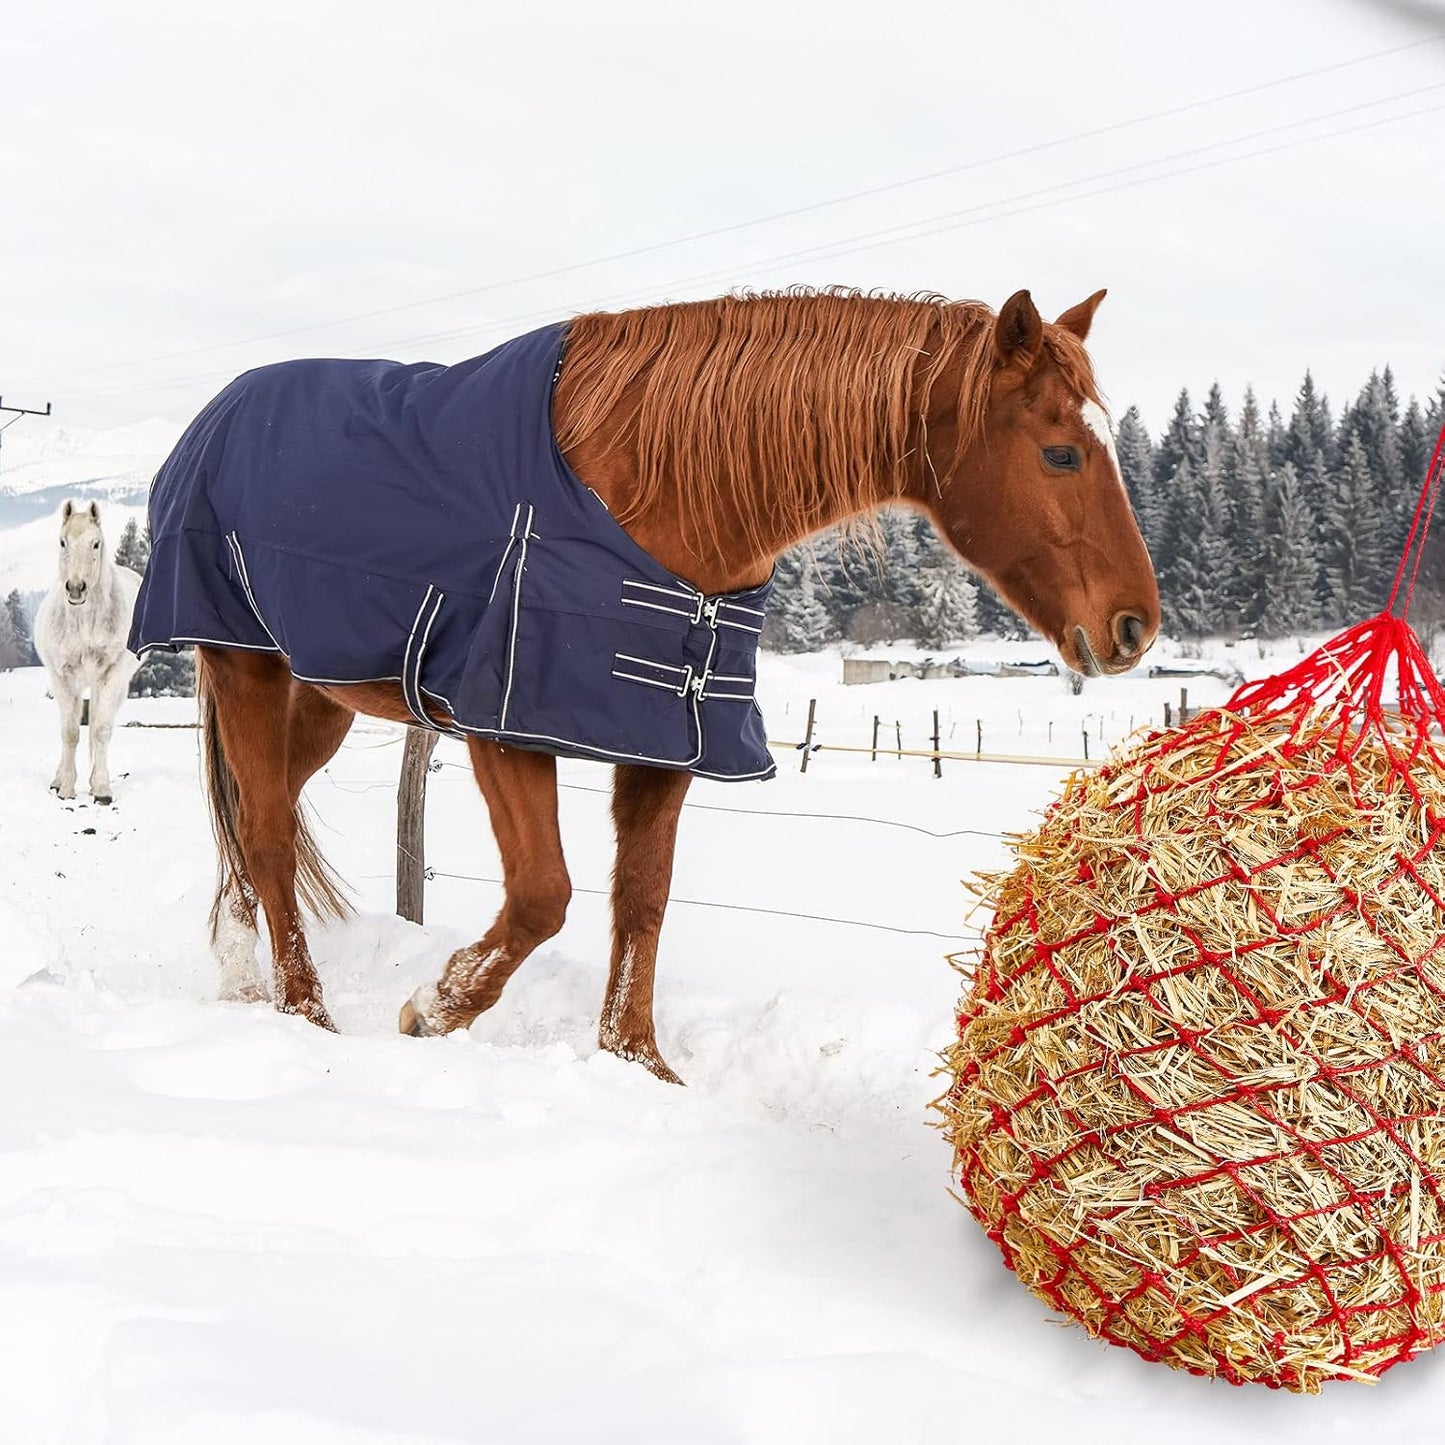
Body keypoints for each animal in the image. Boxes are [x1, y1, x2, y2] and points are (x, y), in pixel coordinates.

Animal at [34, 501, 143, 805]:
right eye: (63, 542)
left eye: (96, 544)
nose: (75, 588)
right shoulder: (63, 678)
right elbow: (70, 732)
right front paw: (67, 788)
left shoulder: (111, 675)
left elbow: (101, 730)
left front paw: (102, 790)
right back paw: (58, 780)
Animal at [132, 287, 1160, 1080]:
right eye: (1061, 452)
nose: (1134, 626)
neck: (658, 493)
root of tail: (216, 418)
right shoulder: (509, 724)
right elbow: (543, 894)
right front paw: (435, 1006)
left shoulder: (666, 735)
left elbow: (642, 896)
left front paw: (636, 1059)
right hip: (244, 664)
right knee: (268, 831)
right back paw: (302, 1008)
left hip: (322, 695)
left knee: (254, 820)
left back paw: (240, 971)